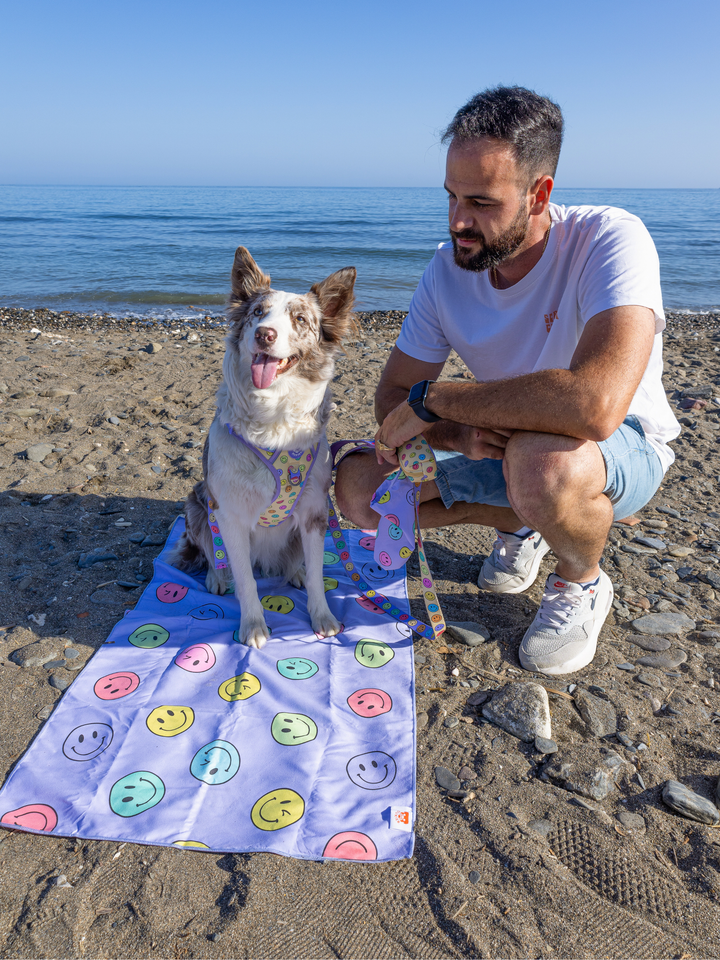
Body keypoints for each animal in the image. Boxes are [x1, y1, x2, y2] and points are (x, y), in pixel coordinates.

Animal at [172, 248, 358, 648]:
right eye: (258, 312)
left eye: (300, 319)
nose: (264, 334)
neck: (272, 420)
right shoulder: (229, 514)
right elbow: (245, 580)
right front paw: (253, 625)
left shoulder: (315, 511)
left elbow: (318, 575)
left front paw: (322, 616)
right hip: (196, 502)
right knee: (213, 553)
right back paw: (217, 577)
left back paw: (295, 571)